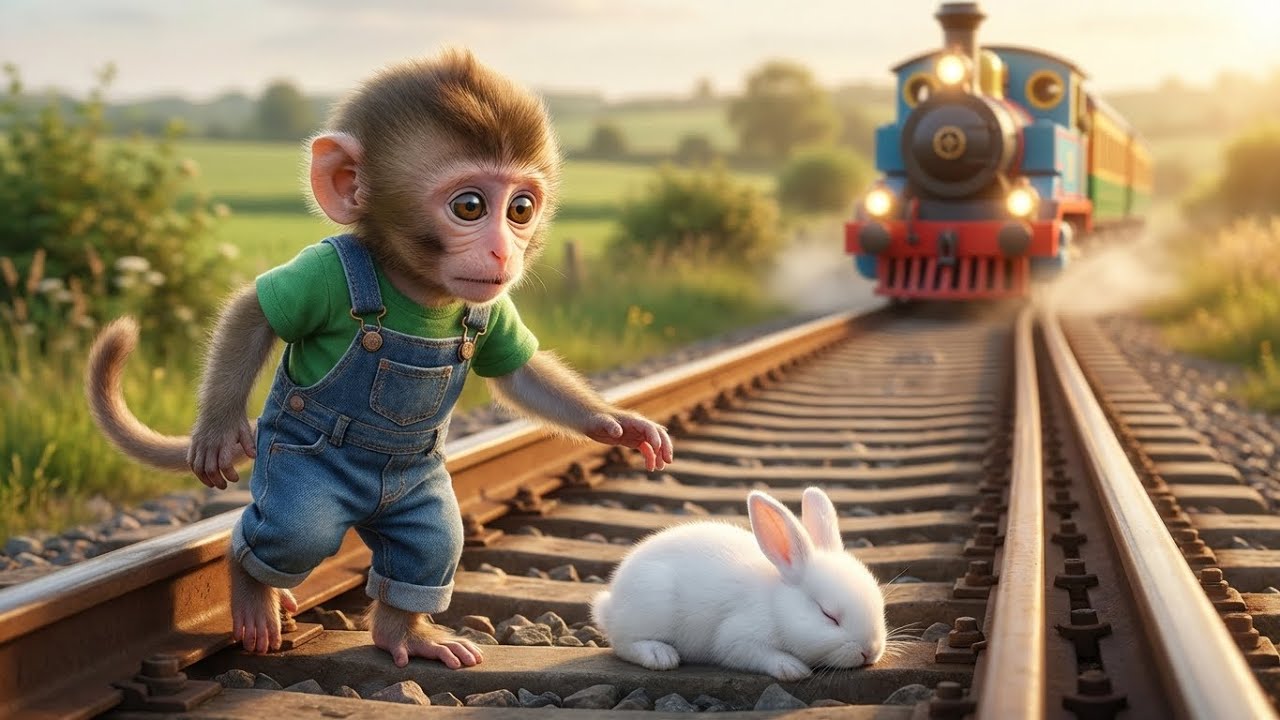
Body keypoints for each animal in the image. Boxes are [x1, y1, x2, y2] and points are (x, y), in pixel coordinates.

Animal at [85, 49, 674, 670]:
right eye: (470, 206)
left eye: (520, 209)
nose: (501, 251)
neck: (419, 292)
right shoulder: (320, 274)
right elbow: (254, 312)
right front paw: (218, 432)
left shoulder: (494, 311)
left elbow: (520, 373)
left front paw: (621, 423)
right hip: (293, 463)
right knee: (294, 531)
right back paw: (253, 596)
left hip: (418, 493)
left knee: (429, 544)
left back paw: (406, 633)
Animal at [591, 486, 887, 681]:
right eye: (829, 615)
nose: (869, 652)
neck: (775, 605)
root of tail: (610, 603)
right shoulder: (736, 639)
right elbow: (752, 653)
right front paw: (792, 668)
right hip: (651, 604)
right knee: (623, 643)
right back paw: (660, 655)